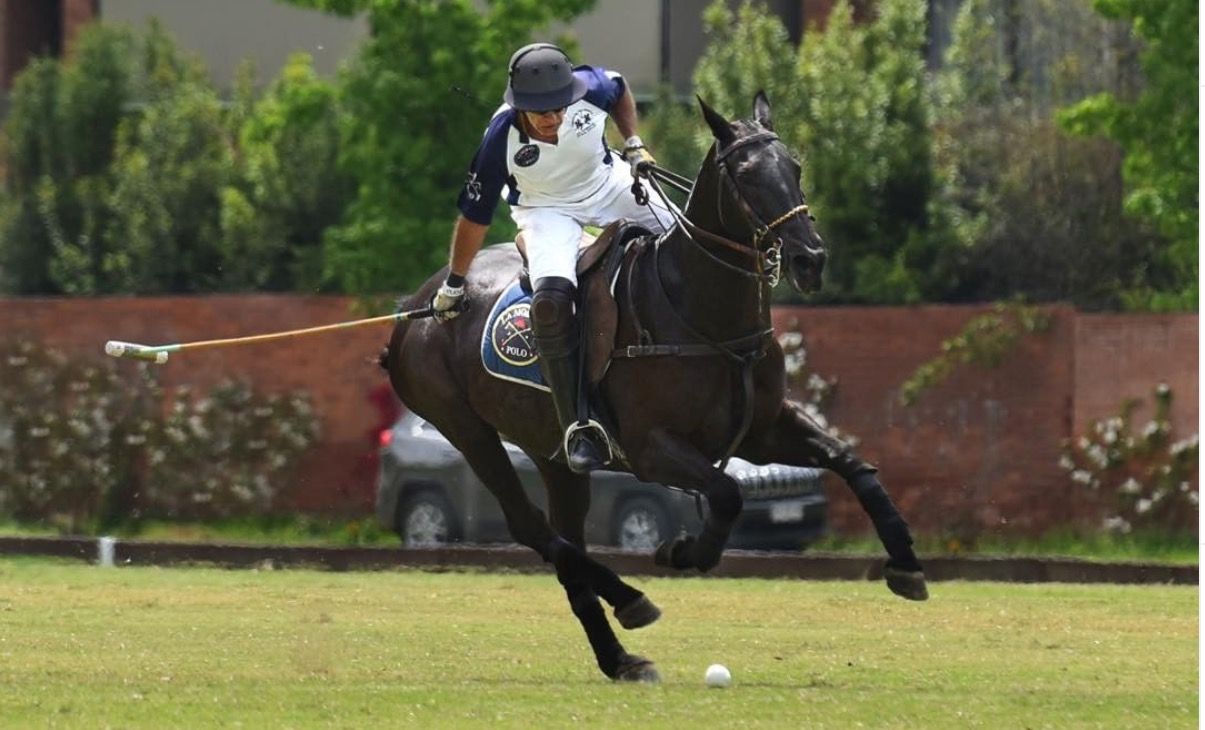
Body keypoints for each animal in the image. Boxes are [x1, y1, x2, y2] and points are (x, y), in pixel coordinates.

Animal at [380, 92, 925, 684]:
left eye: (796, 168)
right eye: (744, 174)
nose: (810, 259)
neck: (704, 314)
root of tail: (416, 306)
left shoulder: (763, 429)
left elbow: (852, 463)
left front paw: (907, 564)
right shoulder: (649, 449)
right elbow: (727, 493)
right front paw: (682, 551)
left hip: (549, 450)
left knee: (564, 537)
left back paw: (619, 655)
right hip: (466, 428)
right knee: (531, 526)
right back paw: (630, 598)